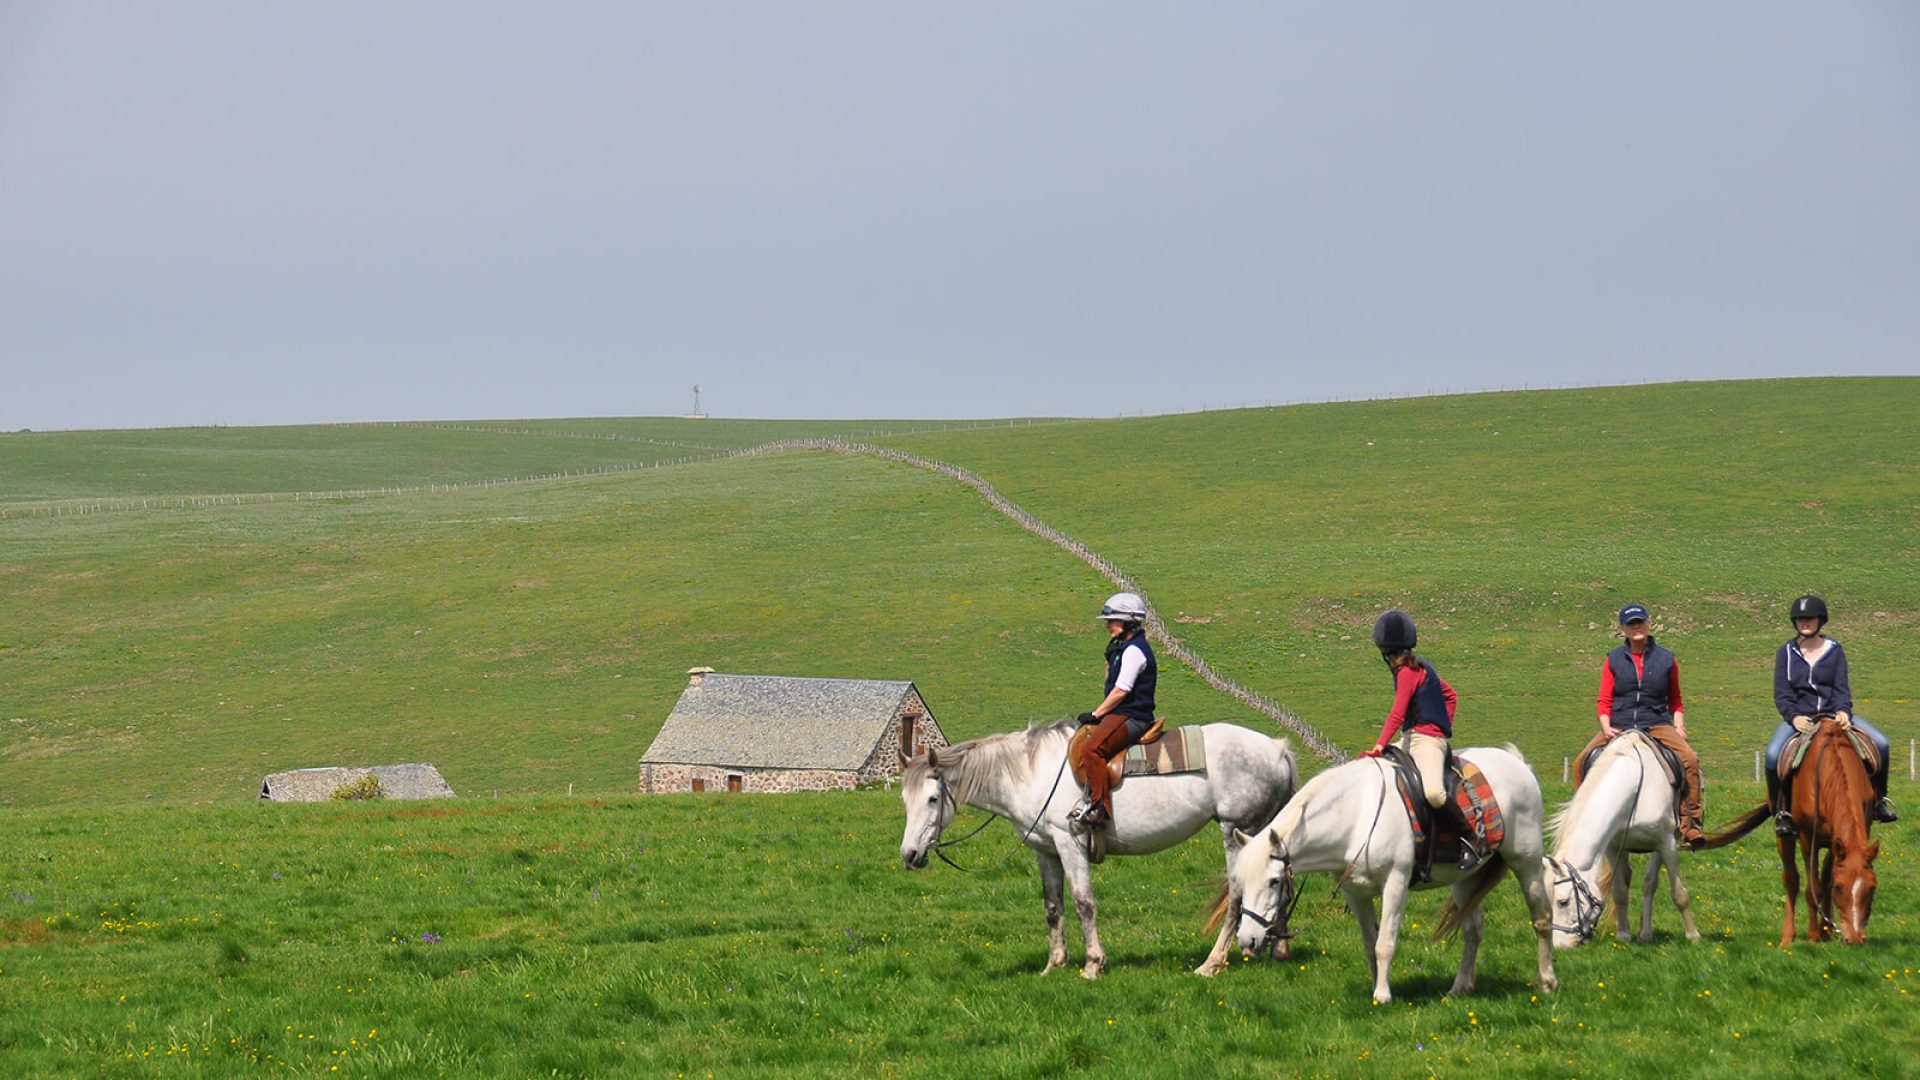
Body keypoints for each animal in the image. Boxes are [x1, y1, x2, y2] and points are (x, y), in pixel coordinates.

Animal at [894, 718, 1290, 980]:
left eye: (932, 799)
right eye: (904, 799)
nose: (909, 855)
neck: (1031, 774)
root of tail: (1277, 750)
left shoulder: (1069, 842)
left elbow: (1084, 903)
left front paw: (1092, 964)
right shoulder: (1045, 850)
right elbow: (1053, 907)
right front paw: (1054, 965)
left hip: (1239, 832)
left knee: (1240, 896)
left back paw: (1211, 963)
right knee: (1280, 887)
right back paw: (1279, 951)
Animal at [1213, 737, 1559, 999]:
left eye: (1274, 881)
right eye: (1241, 882)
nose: (1248, 941)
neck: (1357, 815)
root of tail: (1517, 762)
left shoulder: (1395, 884)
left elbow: (1385, 944)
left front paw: (1382, 995)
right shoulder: (1355, 893)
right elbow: (1369, 944)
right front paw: (1375, 987)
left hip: (1526, 862)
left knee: (1541, 918)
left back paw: (1547, 981)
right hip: (1464, 878)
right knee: (1472, 929)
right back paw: (1460, 987)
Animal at [1551, 726, 1704, 945]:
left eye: (1562, 902)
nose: (1559, 945)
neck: (1635, 789)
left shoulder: (1666, 844)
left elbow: (1678, 893)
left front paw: (1693, 936)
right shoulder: (1613, 847)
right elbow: (1620, 891)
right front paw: (1623, 935)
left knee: (1650, 883)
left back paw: (1646, 933)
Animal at [1712, 714, 1873, 941]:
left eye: (1872, 888)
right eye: (1841, 888)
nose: (1855, 938)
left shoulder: (1844, 838)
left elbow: (1827, 880)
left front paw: (1825, 931)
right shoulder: (1807, 838)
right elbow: (1813, 887)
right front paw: (1813, 936)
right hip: (1784, 836)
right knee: (1791, 879)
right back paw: (1788, 936)